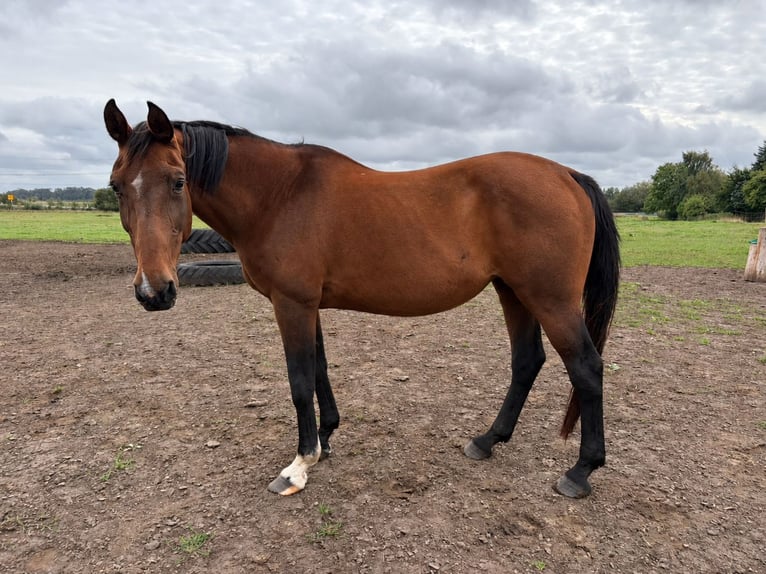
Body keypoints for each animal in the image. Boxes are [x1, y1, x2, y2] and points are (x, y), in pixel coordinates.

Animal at [103, 99, 620, 498]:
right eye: (116, 186)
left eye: (177, 180)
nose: (155, 291)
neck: (279, 195)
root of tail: (567, 174)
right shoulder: (306, 304)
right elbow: (319, 371)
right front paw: (326, 438)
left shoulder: (291, 304)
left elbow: (299, 380)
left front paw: (298, 465)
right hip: (513, 291)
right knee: (527, 361)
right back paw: (488, 440)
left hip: (550, 299)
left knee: (585, 367)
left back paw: (580, 472)